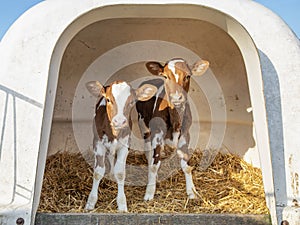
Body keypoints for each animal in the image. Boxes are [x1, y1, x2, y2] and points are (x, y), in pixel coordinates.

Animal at [85, 80, 157, 211]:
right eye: (108, 99)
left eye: (132, 102)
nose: (119, 121)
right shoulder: (97, 144)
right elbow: (98, 172)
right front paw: (91, 202)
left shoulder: (125, 145)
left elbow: (120, 173)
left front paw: (122, 203)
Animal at [136, 57, 209, 200]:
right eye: (165, 76)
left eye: (188, 76)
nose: (176, 98)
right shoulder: (157, 134)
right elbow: (154, 165)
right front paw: (149, 193)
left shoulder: (185, 135)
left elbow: (186, 165)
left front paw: (191, 191)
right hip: (144, 127)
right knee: (148, 153)